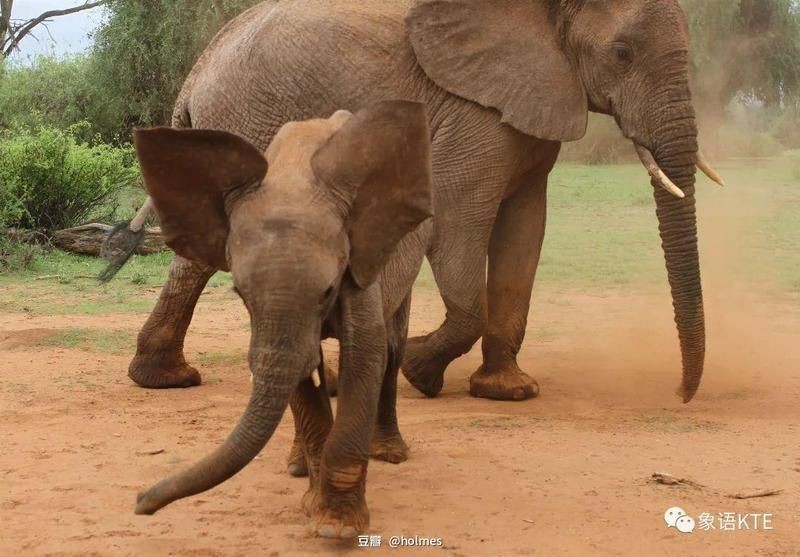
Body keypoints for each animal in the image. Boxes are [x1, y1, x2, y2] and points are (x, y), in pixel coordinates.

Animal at [124, 0, 725, 409]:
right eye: (622, 54)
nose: (681, 393)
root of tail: (198, 71)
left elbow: (525, 230)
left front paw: (508, 391)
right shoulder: (473, 116)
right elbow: (459, 222)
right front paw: (418, 370)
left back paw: (168, 377)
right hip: (249, 120)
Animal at [131, 101, 434, 538]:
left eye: (328, 291)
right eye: (240, 294)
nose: (141, 503)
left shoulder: (359, 260)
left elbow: (365, 354)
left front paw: (337, 529)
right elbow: (298, 375)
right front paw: (313, 506)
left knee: (393, 347)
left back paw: (390, 454)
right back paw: (296, 467)